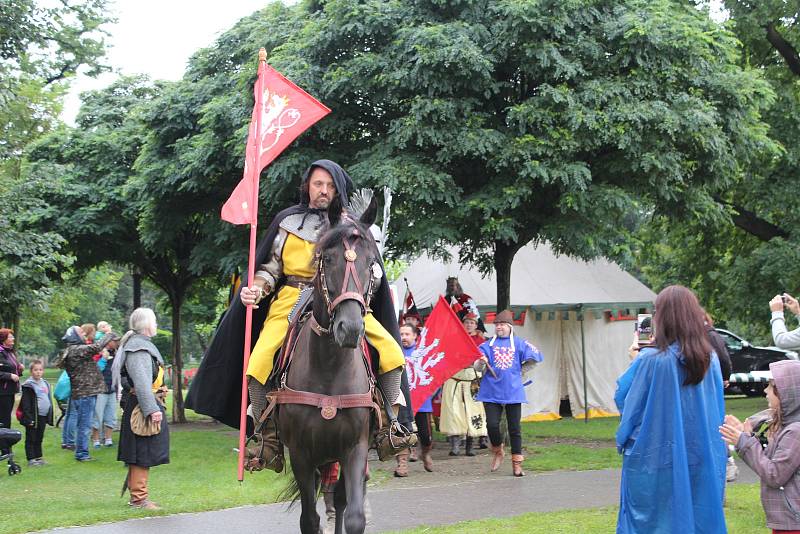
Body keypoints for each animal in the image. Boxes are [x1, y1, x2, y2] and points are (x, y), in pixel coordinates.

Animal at [276, 194, 382, 534]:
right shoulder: (301, 454)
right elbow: (309, 520)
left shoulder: (355, 449)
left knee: (340, 501)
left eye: (370, 264)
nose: (349, 329)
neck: (329, 369)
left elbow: (354, 516)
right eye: (329, 259)